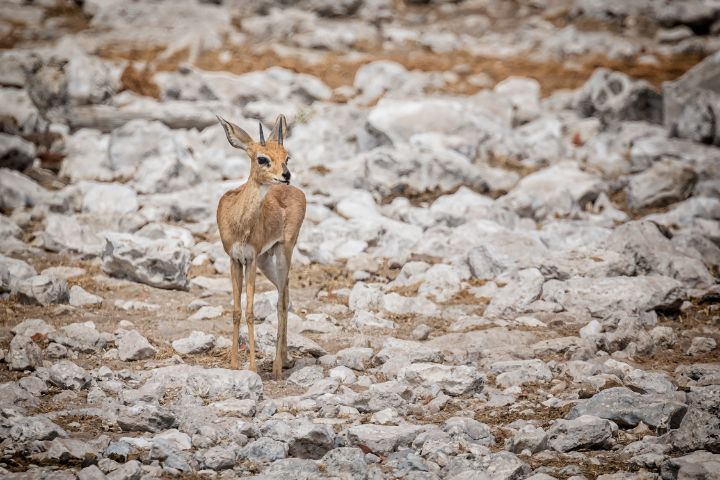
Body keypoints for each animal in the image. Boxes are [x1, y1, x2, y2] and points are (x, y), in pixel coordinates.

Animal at [214, 113, 304, 378]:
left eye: (286, 156)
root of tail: (298, 192)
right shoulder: (235, 259)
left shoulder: (250, 259)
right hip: (268, 260)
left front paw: (253, 367)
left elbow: (251, 312)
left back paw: (276, 367)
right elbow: (236, 312)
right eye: (262, 158)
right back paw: (285, 360)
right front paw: (234, 365)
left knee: (281, 302)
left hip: (283, 252)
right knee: (286, 294)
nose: (286, 175)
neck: (240, 222)